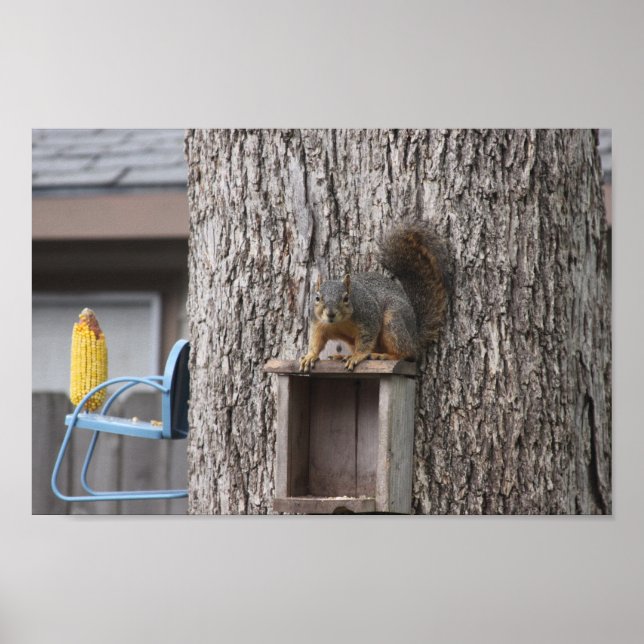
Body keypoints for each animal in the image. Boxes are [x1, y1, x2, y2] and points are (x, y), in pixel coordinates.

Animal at [299, 221, 450, 372]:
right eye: (317, 298)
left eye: (346, 298)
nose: (330, 314)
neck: (339, 323)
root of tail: (415, 335)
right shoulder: (318, 323)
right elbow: (316, 340)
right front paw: (310, 356)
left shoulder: (369, 317)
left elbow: (367, 339)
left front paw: (357, 356)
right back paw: (343, 356)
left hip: (393, 320)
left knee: (408, 353)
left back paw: (383, 356)